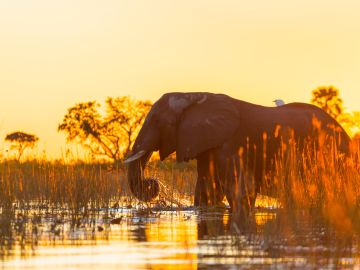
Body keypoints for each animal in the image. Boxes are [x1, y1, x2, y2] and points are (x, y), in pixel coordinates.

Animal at [123, 92, 348, 213]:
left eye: (157, 121)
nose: (152, 183)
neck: (193, 95)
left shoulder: (229, 143)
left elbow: (239, 189)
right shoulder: (208, 143)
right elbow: (207, 189)